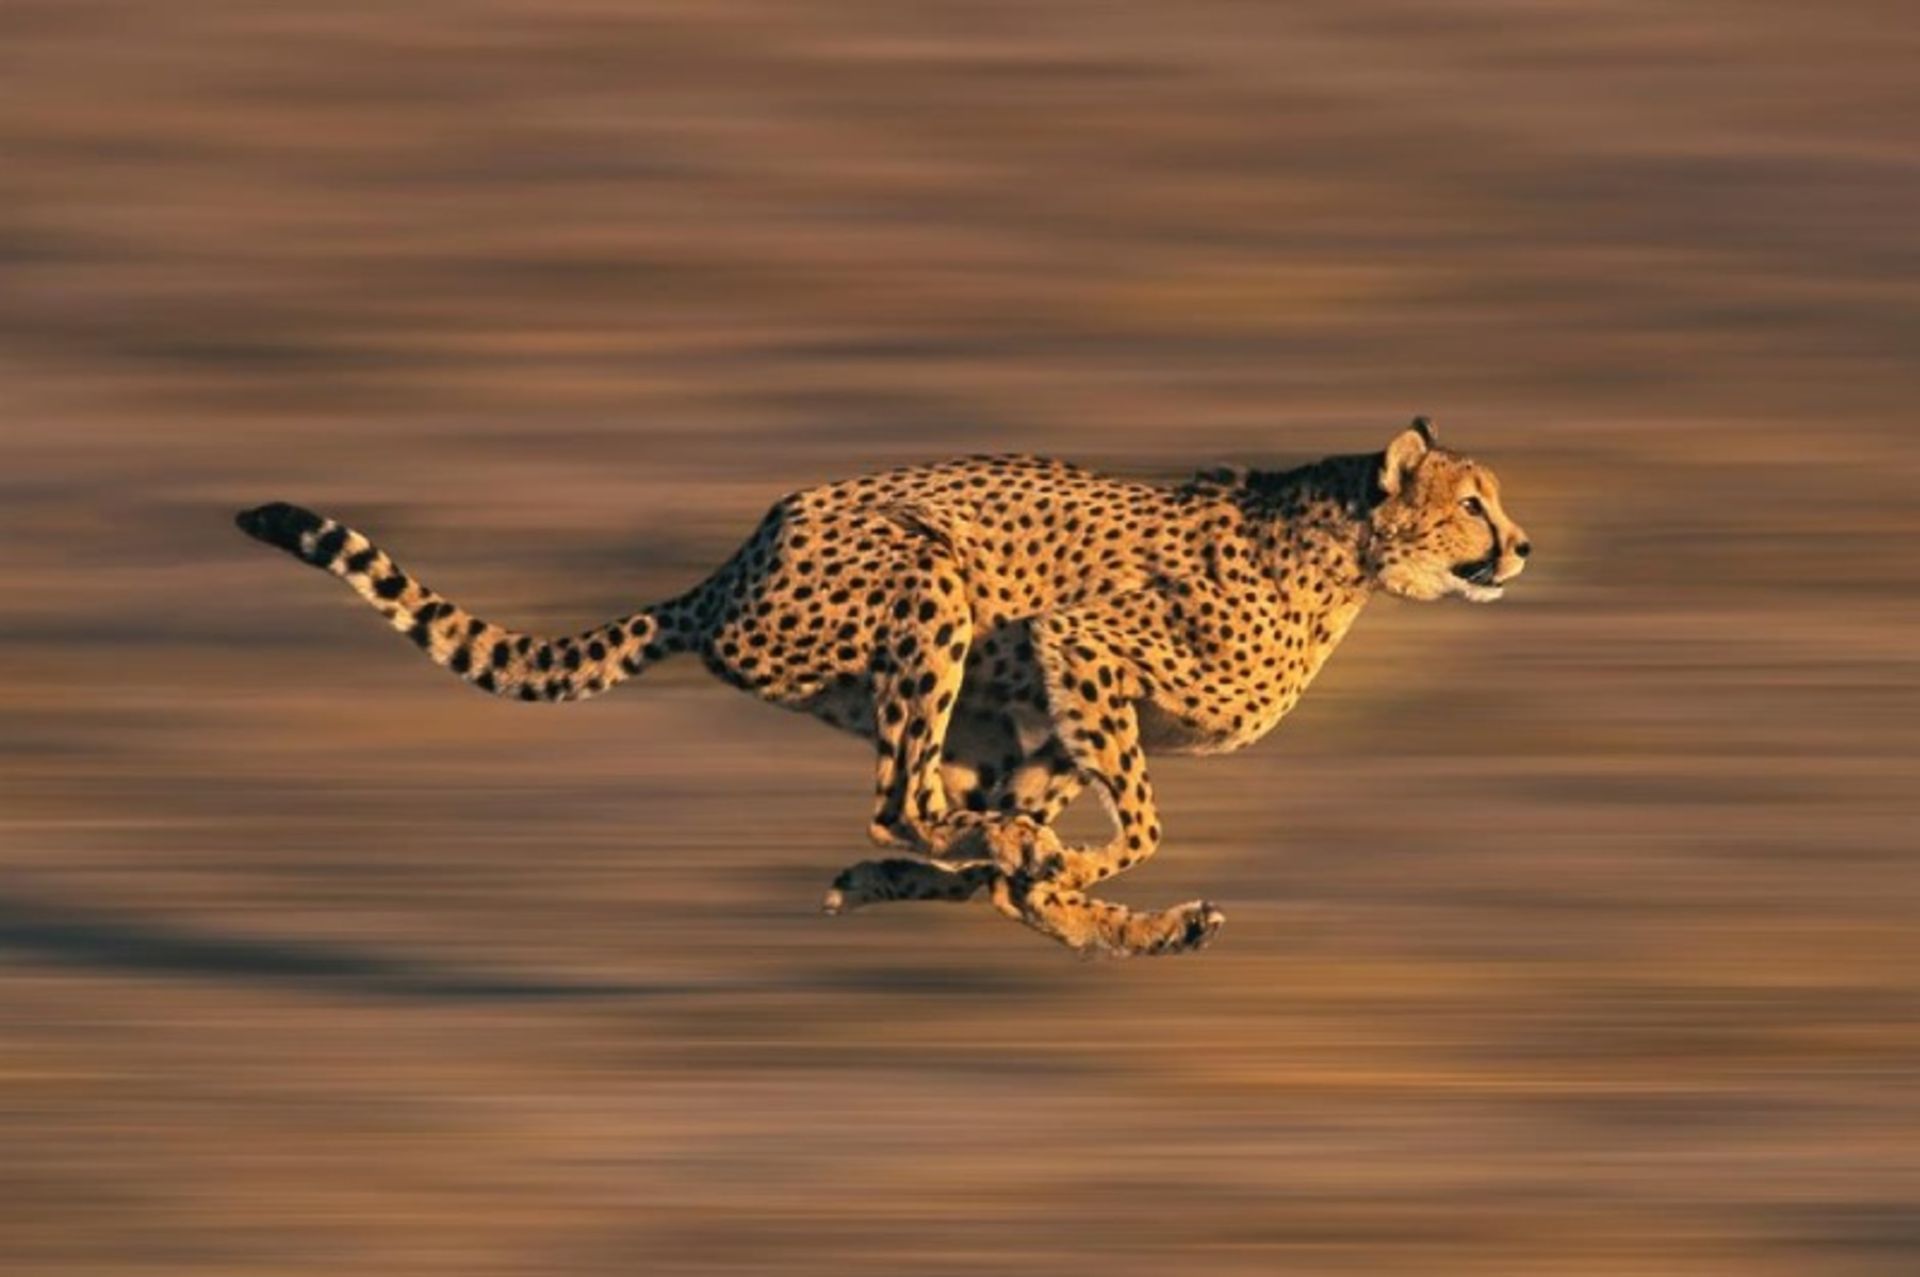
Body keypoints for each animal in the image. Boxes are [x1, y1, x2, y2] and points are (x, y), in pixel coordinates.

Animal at [236, 417, 1531, 958]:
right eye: (1472, 501)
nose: (1520, 546)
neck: (1350, 554)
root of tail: (734, 561)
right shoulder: (1078, 641)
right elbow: (1140, 823)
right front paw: (1074, 868)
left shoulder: (1052, 700)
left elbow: (1052, 862)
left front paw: (1080, 892)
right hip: (931, 582)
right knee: (902, 801)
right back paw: (994, 863)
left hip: (985, 699)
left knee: (934, 827)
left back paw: (1067, 904)